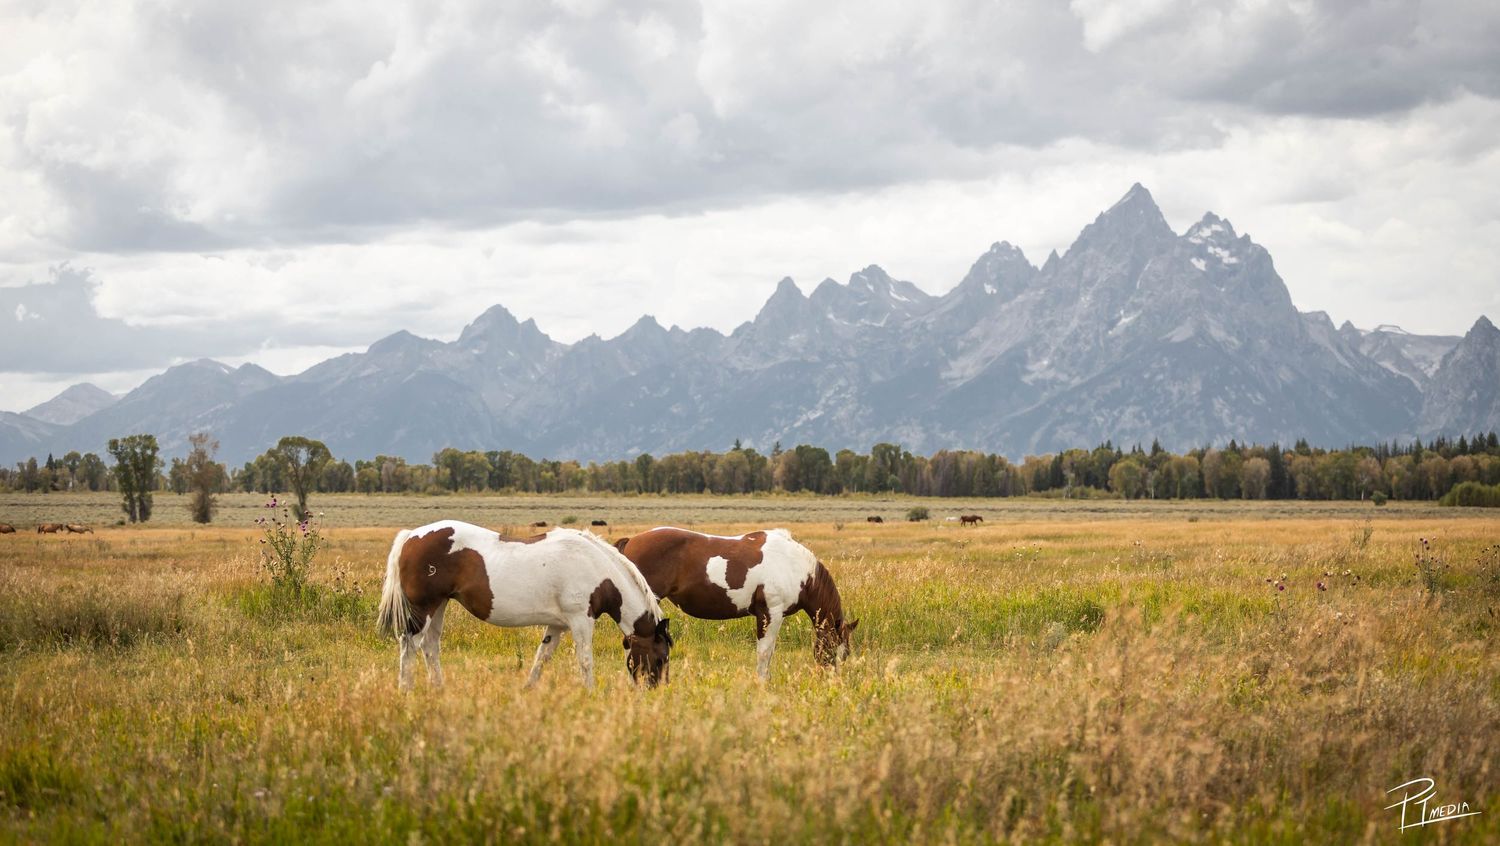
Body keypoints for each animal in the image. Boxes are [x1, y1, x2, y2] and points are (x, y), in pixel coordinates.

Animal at [377, 521, 672, 690]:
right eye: (660, 657)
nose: (654, 691)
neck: (596, 567)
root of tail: (412, 536)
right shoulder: (581, 620)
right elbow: (586, 660)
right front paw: (590, 693)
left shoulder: (557, 625)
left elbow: (542, 657)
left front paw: (527, 689)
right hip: (423, 608)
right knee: (409, 646)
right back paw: (406, 690)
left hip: (439, 606)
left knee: (430, 647)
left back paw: (438, 689)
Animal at [614, 527, 857, 680]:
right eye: (834, 649)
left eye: (845, 654)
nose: (831, 680)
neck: (794, 566)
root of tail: (632, 541)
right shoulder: (770, 614)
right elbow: (764, 652)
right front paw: (762, 683)